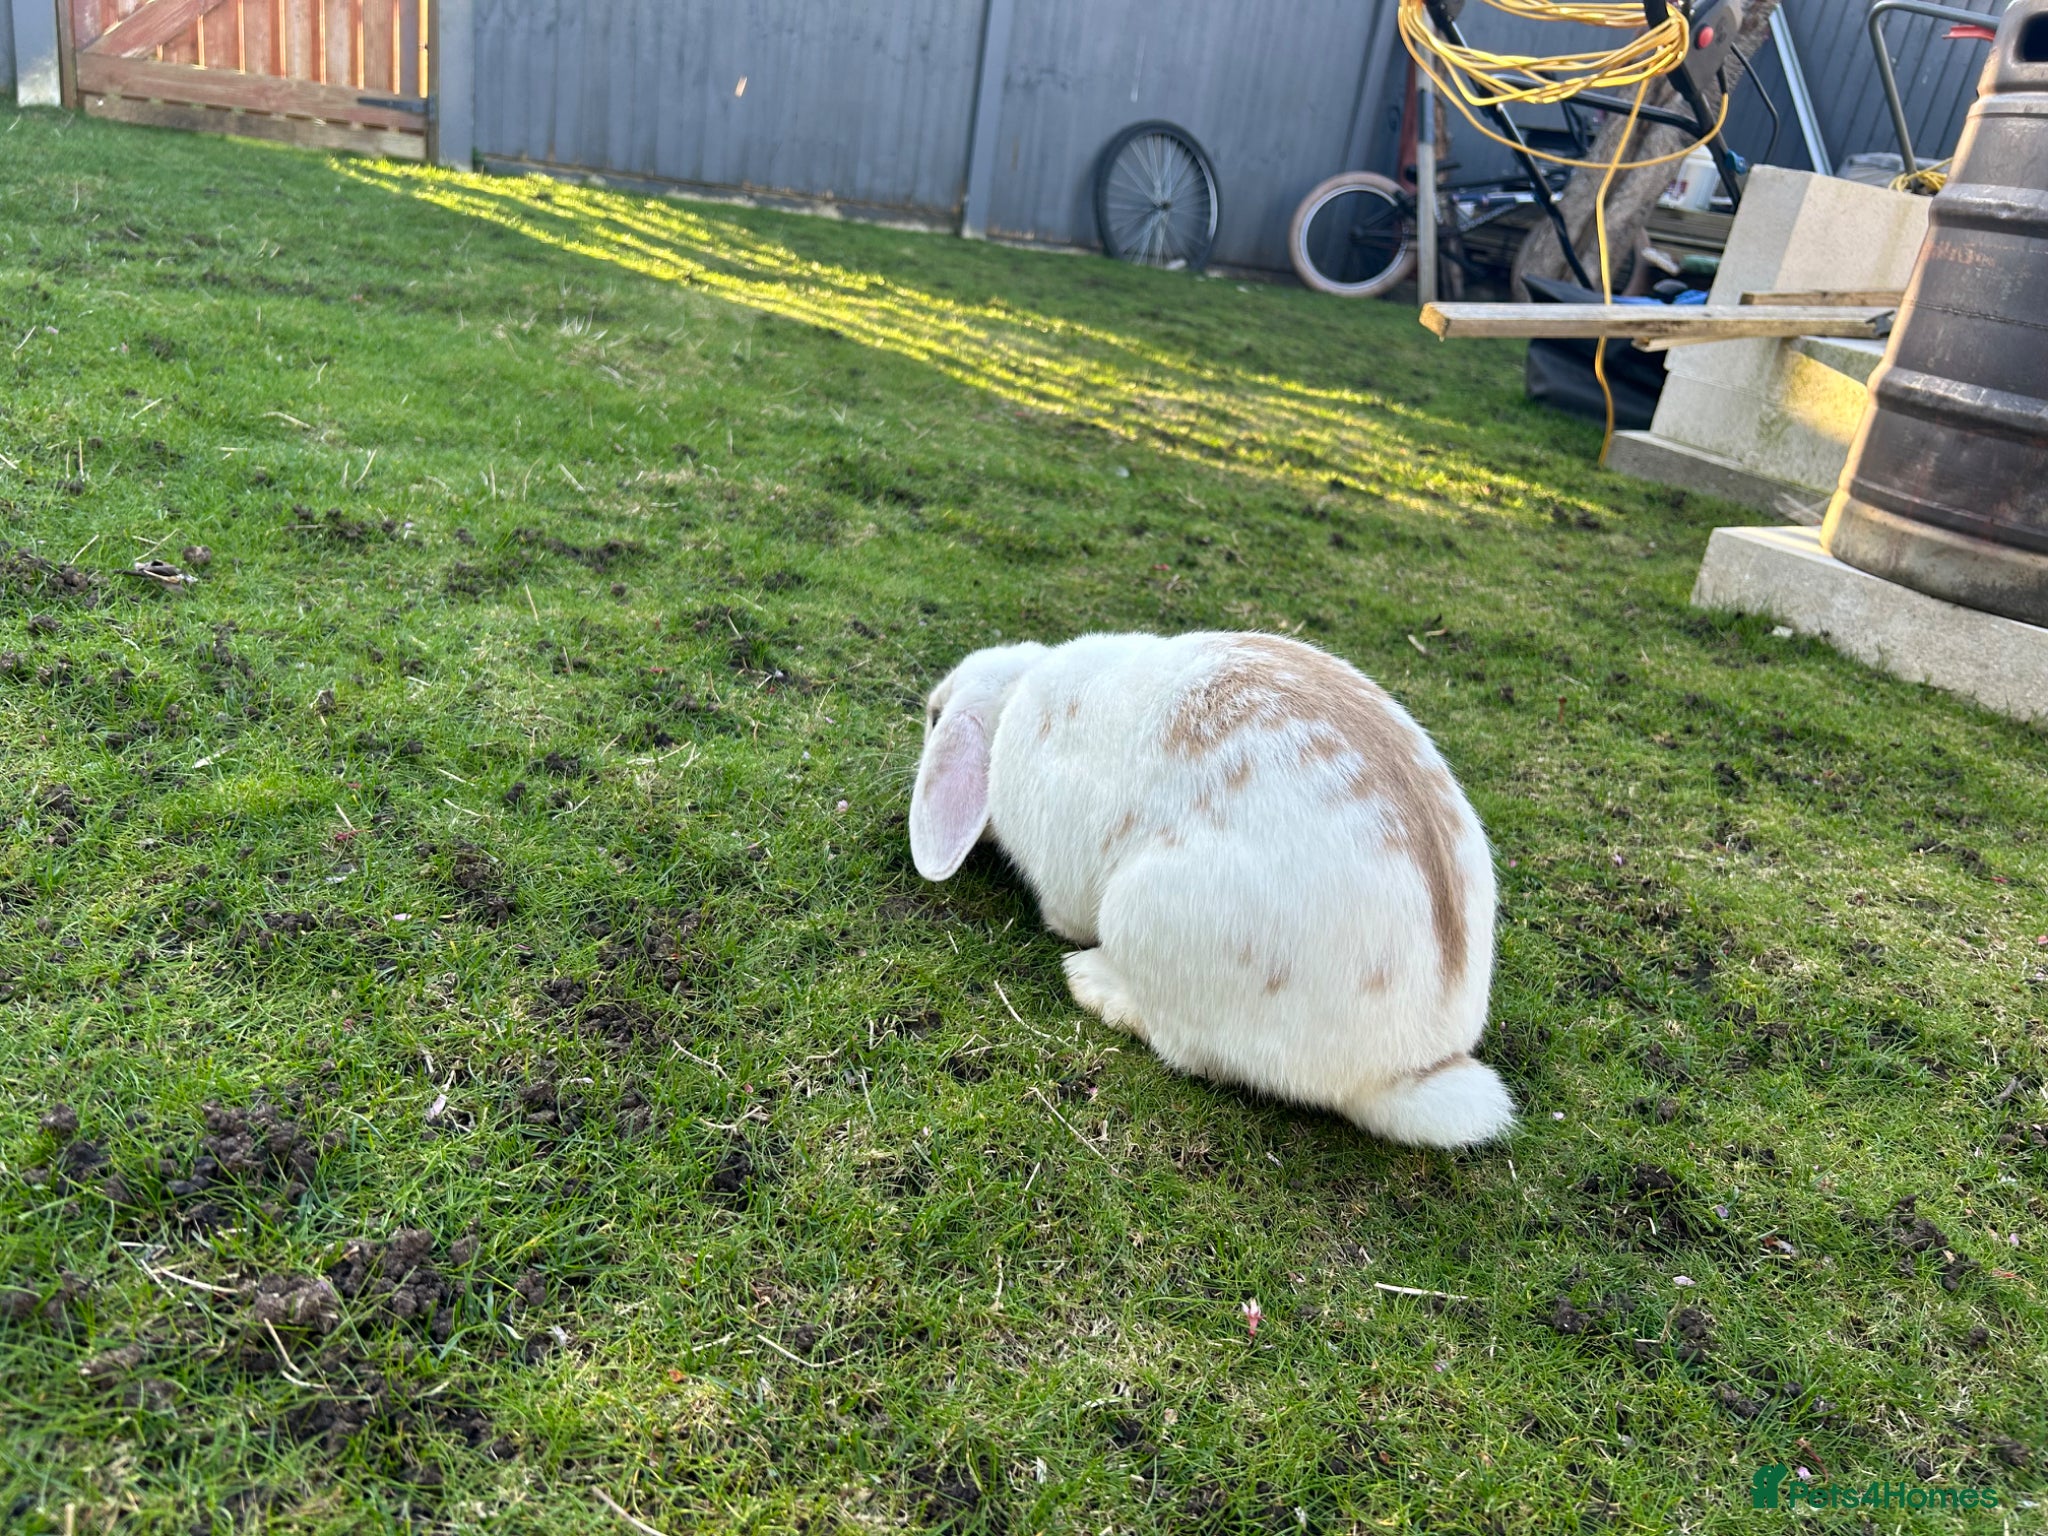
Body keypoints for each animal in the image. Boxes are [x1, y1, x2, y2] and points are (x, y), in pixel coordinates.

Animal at [909, 631, 1512, 1148]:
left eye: (936, 717)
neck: (1016, 692)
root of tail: (1408, 1065)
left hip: (1145, 916)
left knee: (1182, 1045)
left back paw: (1090, 980)